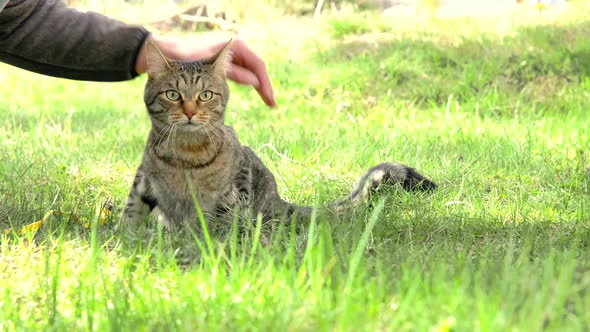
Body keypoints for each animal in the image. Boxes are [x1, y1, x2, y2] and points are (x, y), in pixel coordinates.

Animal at [122, 40, 438, 231]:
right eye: (173, 95)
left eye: (205, 95)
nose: (189, 112)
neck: (185, 157)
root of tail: (277, 199)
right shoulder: (143, 180)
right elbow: (131, 211)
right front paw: (128, 238)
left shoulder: (235, 189)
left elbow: (223, 227)